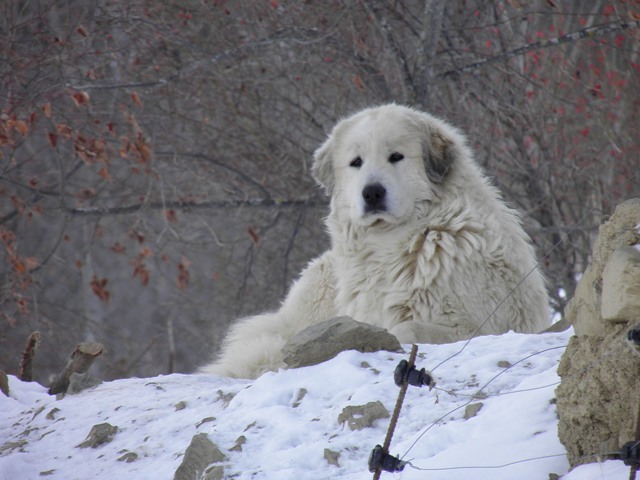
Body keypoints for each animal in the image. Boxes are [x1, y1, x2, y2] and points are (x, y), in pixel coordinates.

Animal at [201, 105, 552, 378]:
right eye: (356, 162)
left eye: (396, 156)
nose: (371, 193)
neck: (397, 245)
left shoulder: (477, 325)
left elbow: (403, 329)